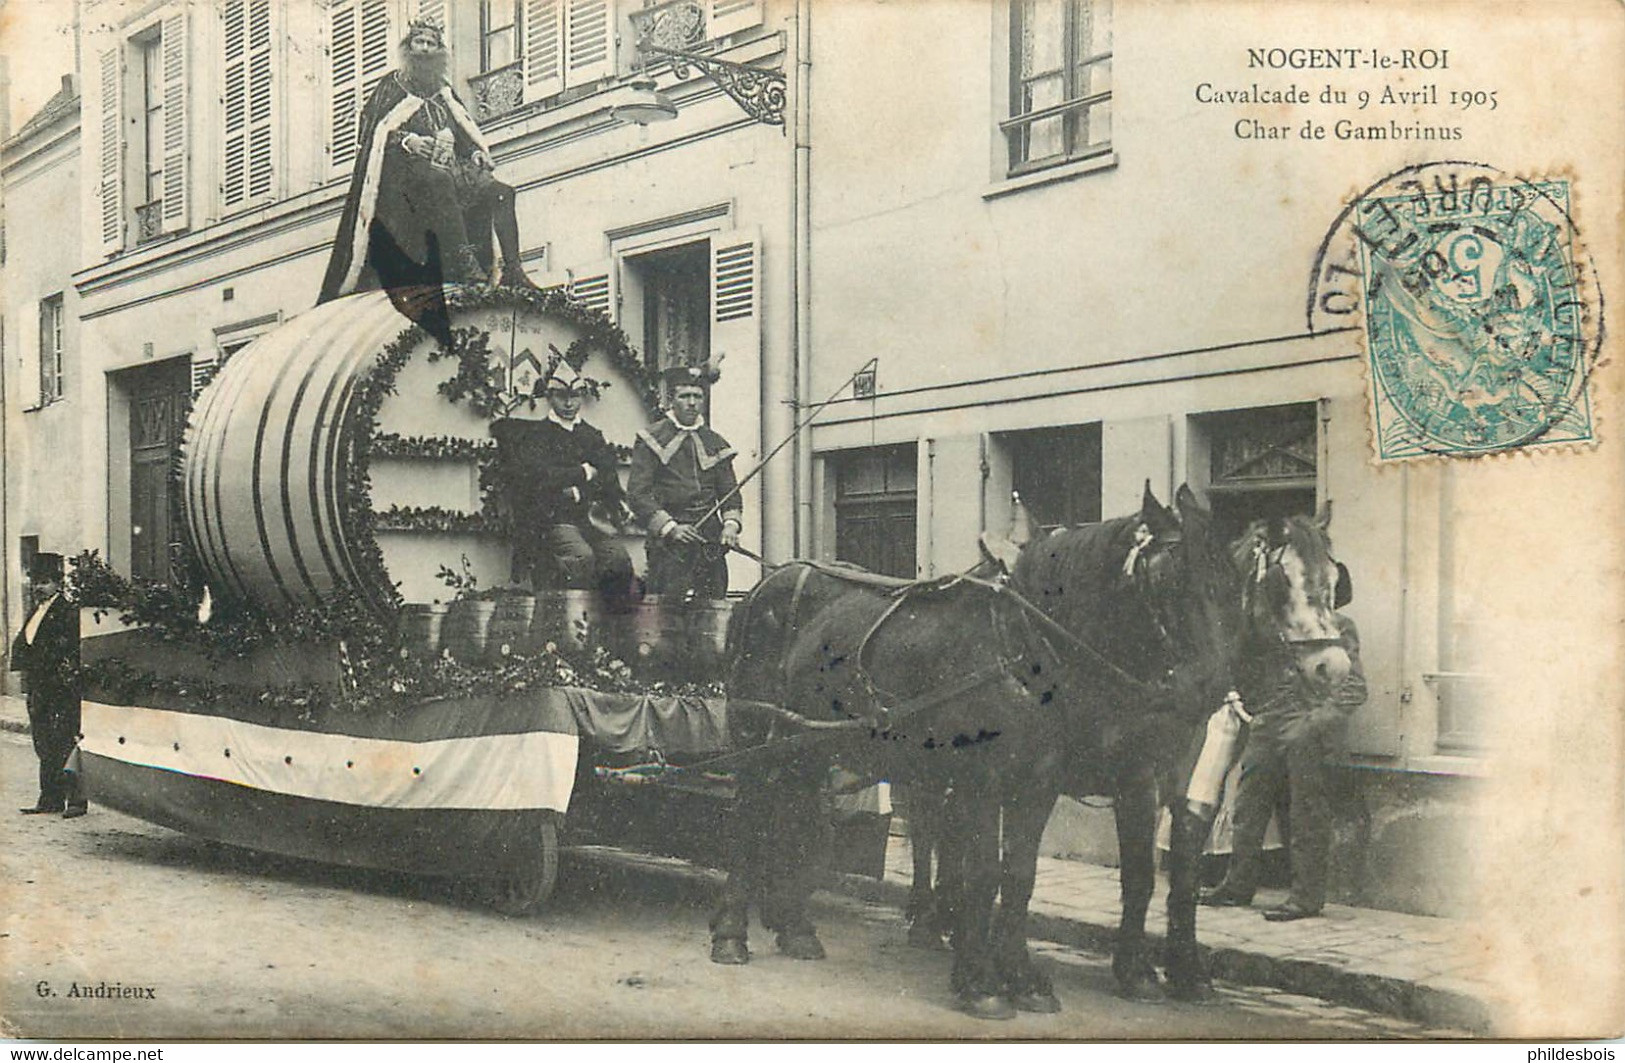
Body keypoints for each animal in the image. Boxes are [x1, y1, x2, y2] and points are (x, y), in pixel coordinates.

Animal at [705, 484, 1248, 1014]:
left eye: (1233, 584)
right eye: (1170, 582)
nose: (1211, 691)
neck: (1025, 648)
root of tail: (766, 583)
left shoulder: (1043, 784)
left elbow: (1022, 876)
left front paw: (1024, 979)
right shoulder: (990, 781)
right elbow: (984, 874)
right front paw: (983, 982)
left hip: (809, 744)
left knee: (797, 817)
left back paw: (796, 928)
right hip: (757, 733)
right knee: (750, 816)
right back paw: (732, 933)